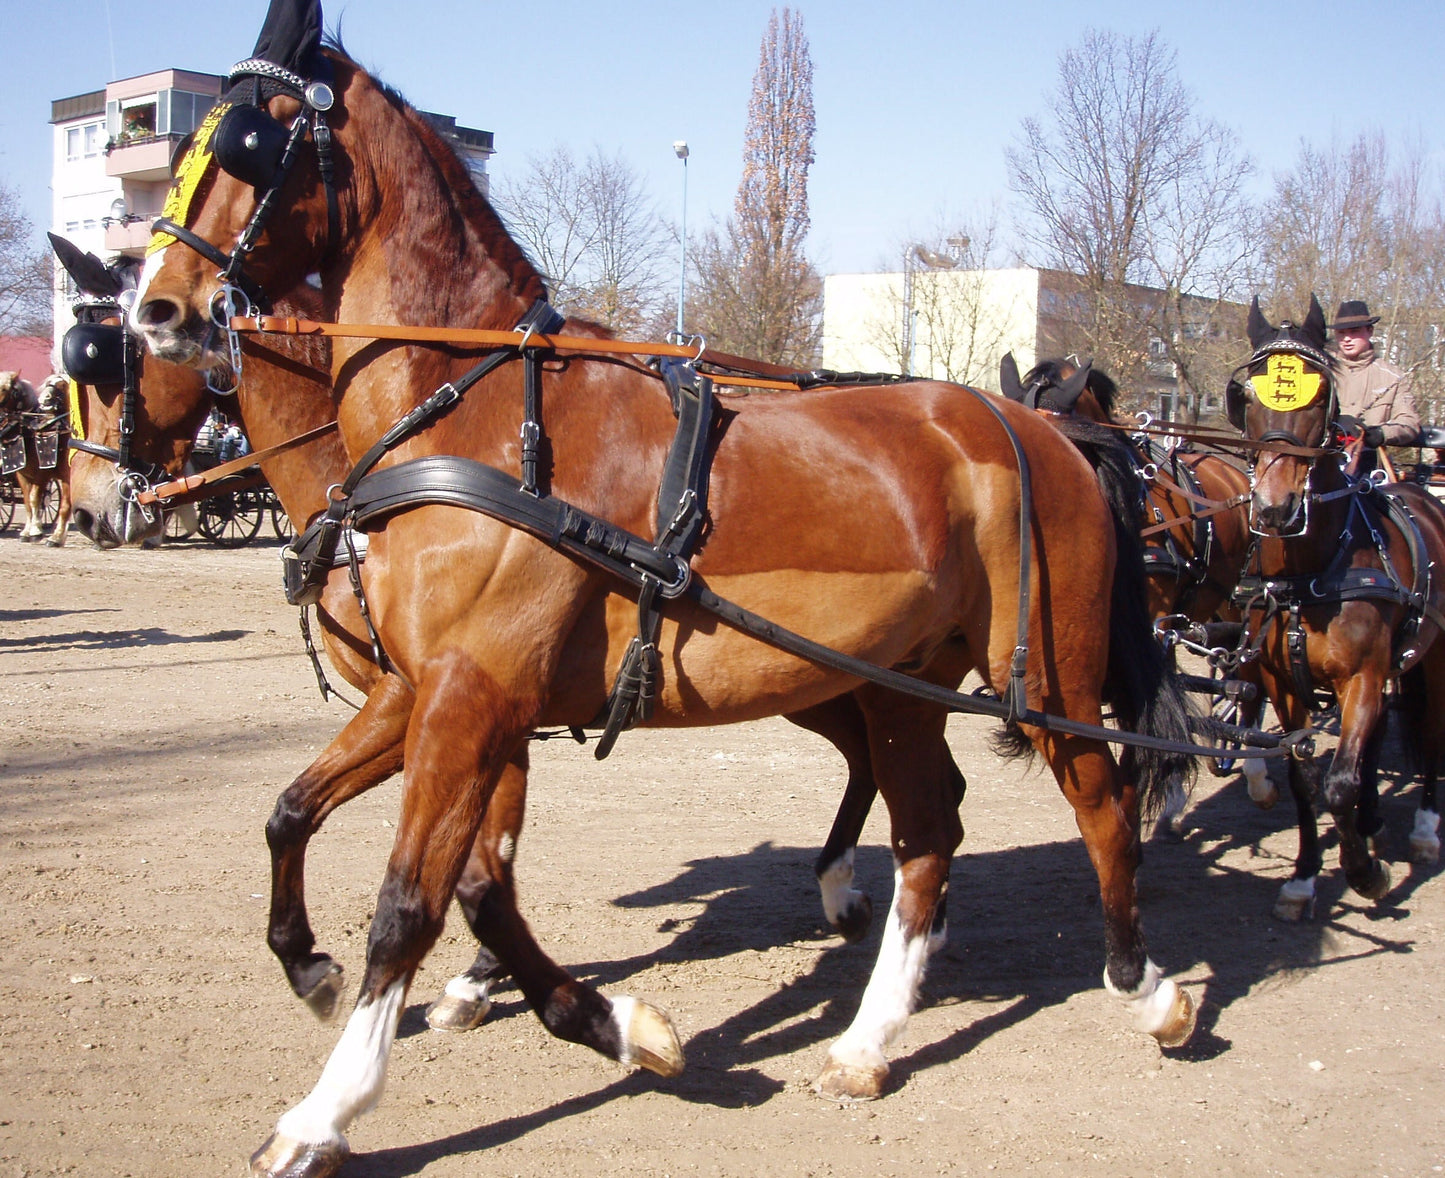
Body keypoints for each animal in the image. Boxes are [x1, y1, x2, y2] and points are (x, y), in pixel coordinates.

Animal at [0, 371, 74, 546]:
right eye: (47, 383)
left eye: (62, 385)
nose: (44, 398)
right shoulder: (22, 474)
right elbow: (28, 502)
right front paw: (27, 531)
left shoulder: (46, 474)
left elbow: (41, 500)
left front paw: (49, 535)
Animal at [131, 9, 1196, 1172]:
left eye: (247, 140)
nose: (157, 309)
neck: (477, 412)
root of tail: (1046, 427)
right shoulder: (430, 694)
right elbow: (376, 845)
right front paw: (611, 1024)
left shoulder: (470, 695)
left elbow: (411, 900)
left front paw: (328, 1108)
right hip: (899, 688)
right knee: (927, 831)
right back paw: (867, 1040)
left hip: (1044, 673)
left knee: (1097, 802)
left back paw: (1146, 988)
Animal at [1223, 295, 1445, 920]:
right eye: (1247, 394)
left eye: (1320, 394)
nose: (1274, 508)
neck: (1311, 574)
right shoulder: (1284, 683)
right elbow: (1305, 778)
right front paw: (1303, 877)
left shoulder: (1363, 676)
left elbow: (1339, 783)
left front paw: (1365, 874)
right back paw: (1372, 822)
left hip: (1433, 660)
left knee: (1429, 730)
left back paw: (1423, 828)